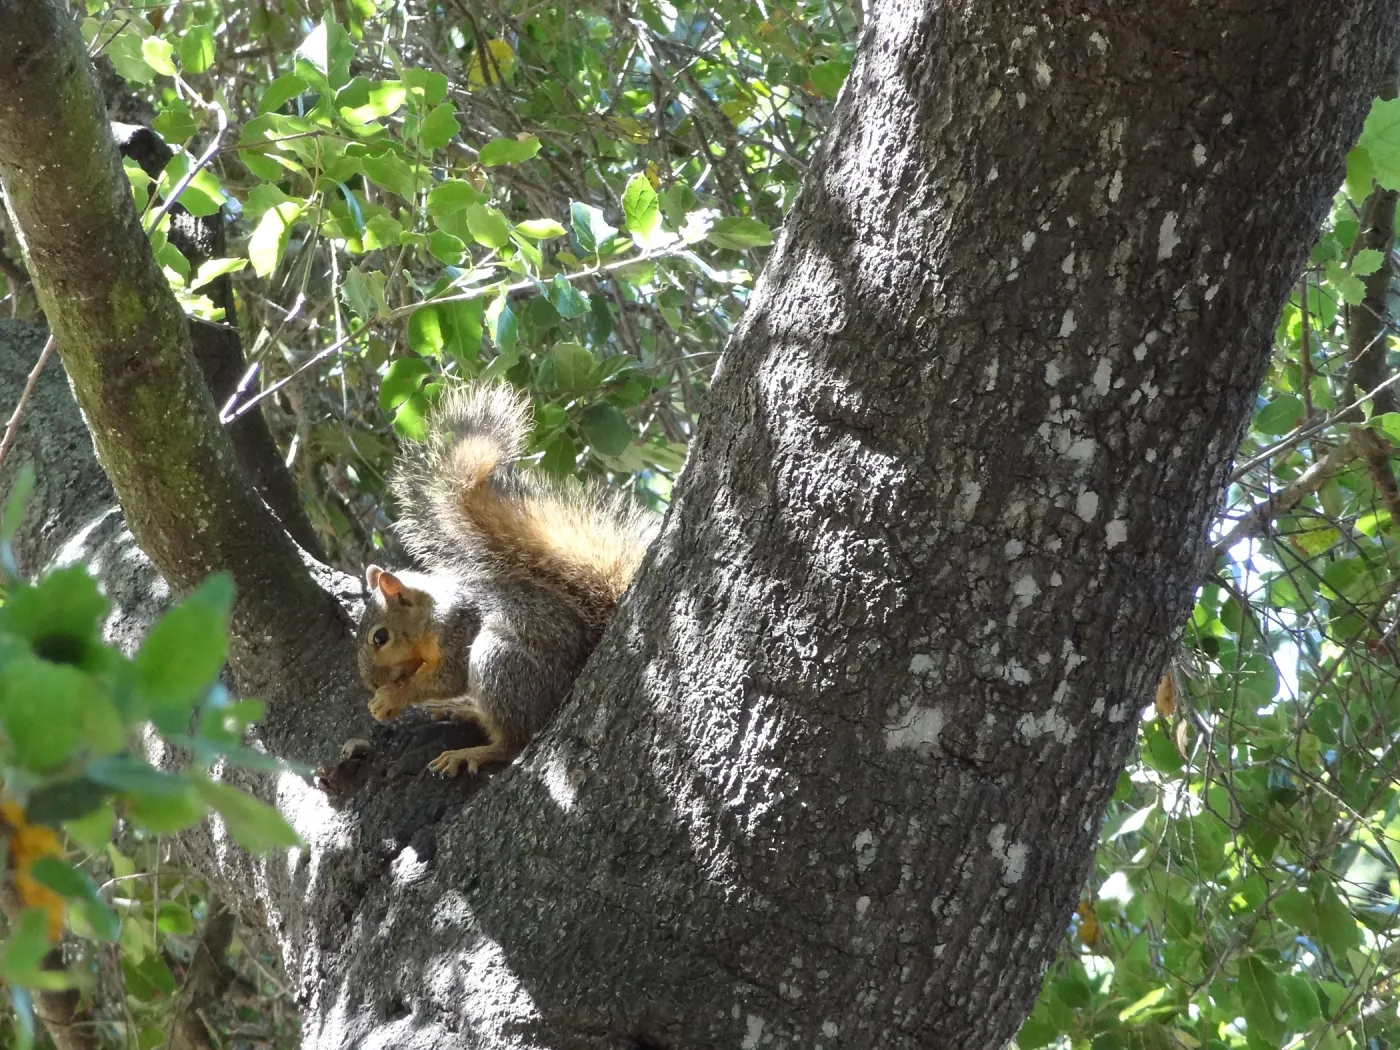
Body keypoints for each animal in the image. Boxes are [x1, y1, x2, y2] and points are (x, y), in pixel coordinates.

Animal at [356, 383, 657, 777]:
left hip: (498, 660)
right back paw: (463, 711)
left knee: (513, 741)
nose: (371, 683)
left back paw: (472, 752)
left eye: (381, 637)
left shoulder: (458, 629)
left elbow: (447, 678)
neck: (432, 614)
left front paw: (392, 697)